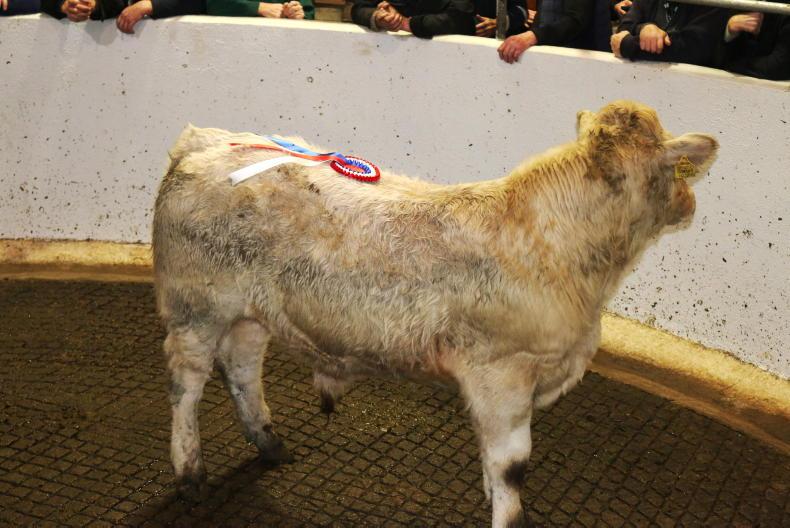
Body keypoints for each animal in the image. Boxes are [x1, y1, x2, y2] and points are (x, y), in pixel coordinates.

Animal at [152, 100, 717, 527]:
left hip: (249, 310)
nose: (691, 204)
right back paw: (190, 472)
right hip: (195, 305)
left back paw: (269, 443)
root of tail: (204, 140)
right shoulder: (503, 373)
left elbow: (493, 465)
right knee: (187, 384)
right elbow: (511, 467)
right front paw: (508, 513)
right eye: (675, 168)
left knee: (242, 367)